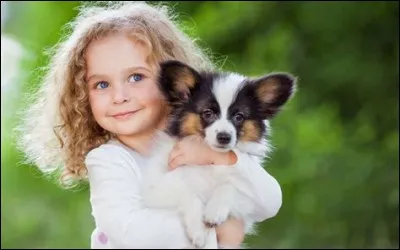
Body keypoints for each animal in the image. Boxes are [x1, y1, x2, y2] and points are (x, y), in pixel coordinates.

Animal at [139, 60, 296, 248]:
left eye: (239, 116)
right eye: (208, 113)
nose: (224, 137)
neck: (211, 163)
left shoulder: (248, 208)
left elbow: (229, 186)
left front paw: (215, 211)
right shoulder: (156, 188)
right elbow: (189, 193)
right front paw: (198, 230)